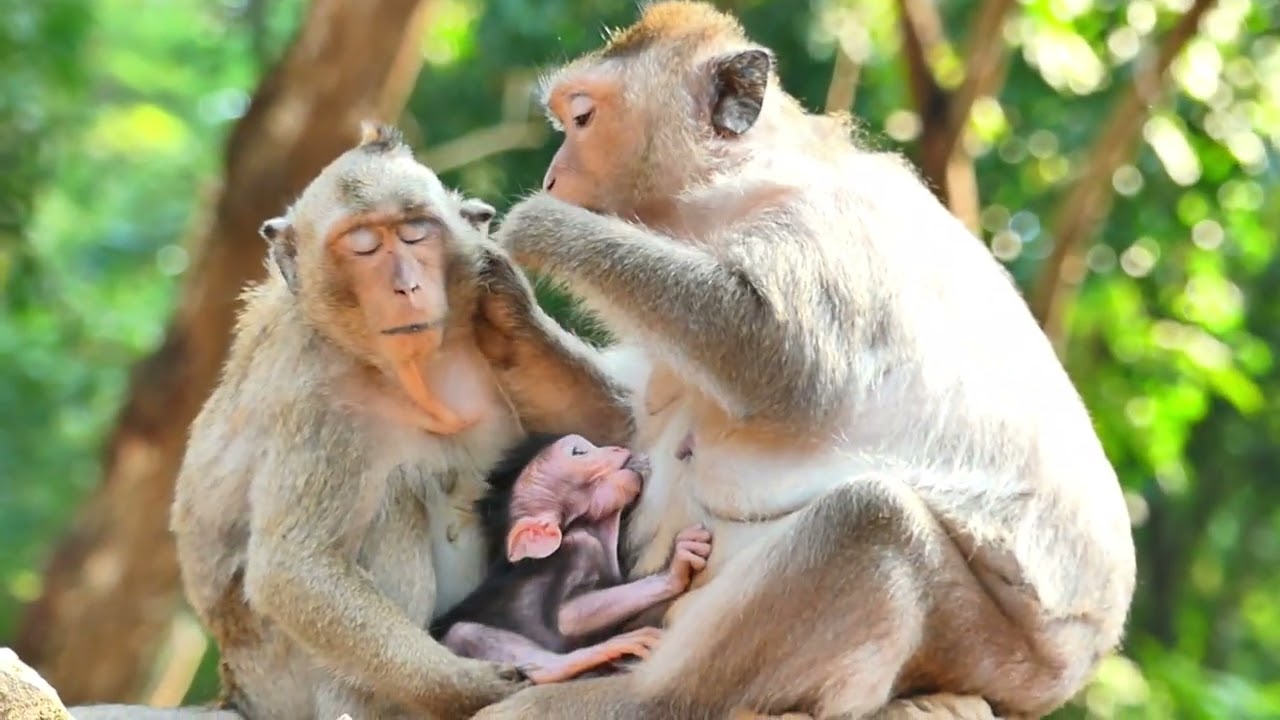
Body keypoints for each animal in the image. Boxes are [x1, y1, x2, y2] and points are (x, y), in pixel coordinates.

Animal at [68, 123, 637, 720]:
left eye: (415, 234)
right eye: (363, 245)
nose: (405, 286)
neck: (406, 372)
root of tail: (237, 689)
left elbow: (613, 427)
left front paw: (510, 312)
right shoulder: (313, 394)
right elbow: (295, 568)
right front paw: (471, 685)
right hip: (283, 673)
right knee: (393, 502)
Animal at [429, 432, 713, 684]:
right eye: (579, 452)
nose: (617, 447)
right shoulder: (580, 546)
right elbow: (568, 618)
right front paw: (674, 570)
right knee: (463, 632)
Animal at [466, 2, 1137, 719]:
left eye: (583, 118)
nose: (552, 177)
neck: (723, 192)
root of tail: (1055, 681)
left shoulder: (820, 221)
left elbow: (783, 356)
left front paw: (539, 227)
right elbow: (623, 427)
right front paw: (499, 301)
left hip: (975, 647)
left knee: (871, 519)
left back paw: (640, 697)